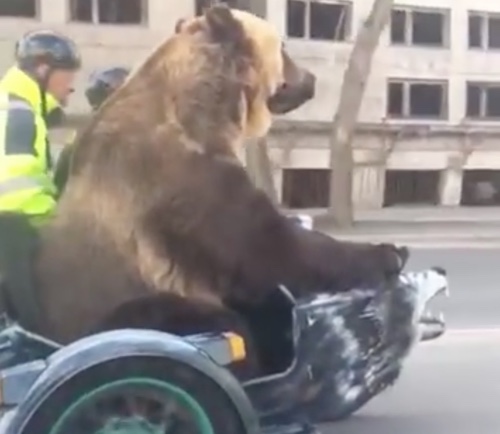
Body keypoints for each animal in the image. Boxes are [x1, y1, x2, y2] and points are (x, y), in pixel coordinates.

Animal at [26, 4, 402, 350]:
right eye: (282, 47)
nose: (311, 79)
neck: (207, 113)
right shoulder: (185, 183)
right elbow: (267, 250)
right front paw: (386, 252)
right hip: (121, 310)